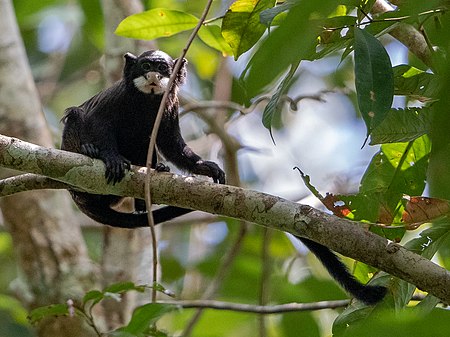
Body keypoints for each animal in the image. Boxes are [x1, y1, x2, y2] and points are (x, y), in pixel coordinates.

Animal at [60, 50, 225, 227]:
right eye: (146, 66)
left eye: (162, 67)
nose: (153, 75)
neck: (147, 100)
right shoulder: (118, 95)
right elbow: (97, 119)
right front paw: (112, 157)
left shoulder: (171, 104)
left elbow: (171, 143)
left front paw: (204, 166)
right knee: (76, 113)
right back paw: (88, 151)